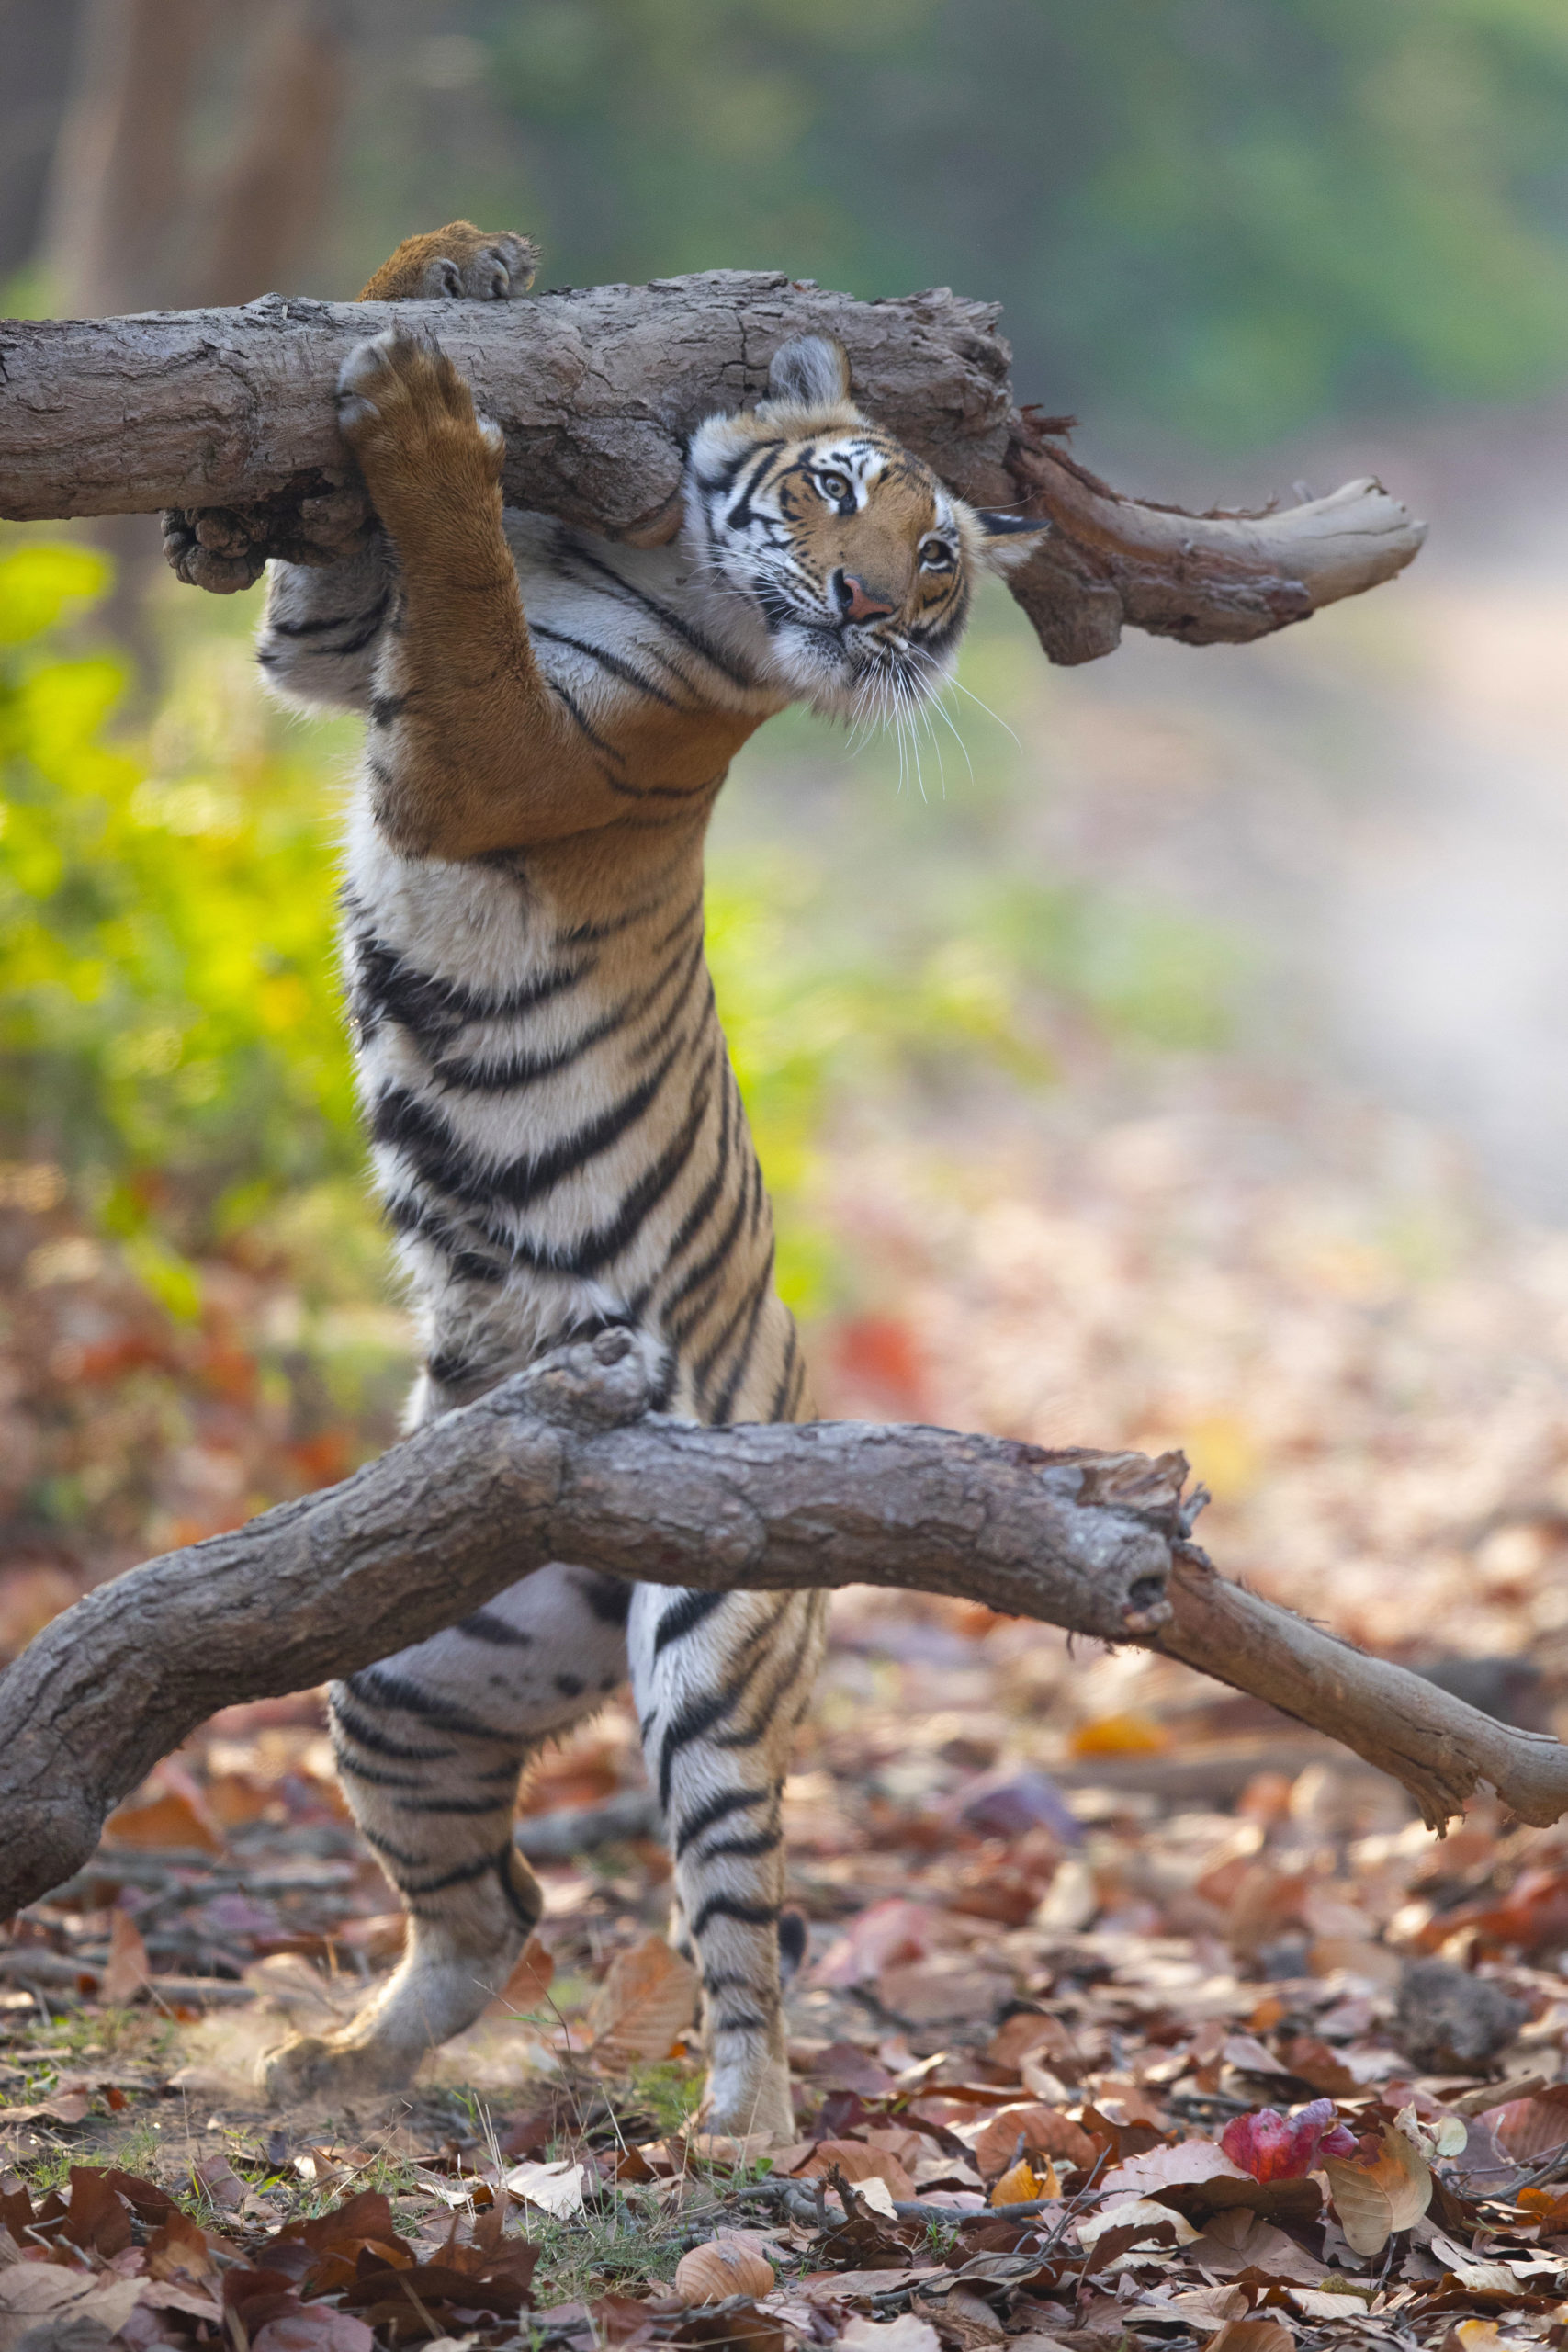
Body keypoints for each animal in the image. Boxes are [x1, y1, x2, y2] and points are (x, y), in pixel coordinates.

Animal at [247, 222, 1046, 2138]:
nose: (867, 606)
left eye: (935, 555)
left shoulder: (493, 753)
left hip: (711, 1654)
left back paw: (735, 2141)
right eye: (838, 488)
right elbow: (322, 601)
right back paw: (335, 2065)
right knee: (496, 1906)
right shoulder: (330, 663)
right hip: (404, 1667)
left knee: (736, 1927)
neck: (650, 552)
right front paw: (444, 274)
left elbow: (458, 596)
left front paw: (429, 421)